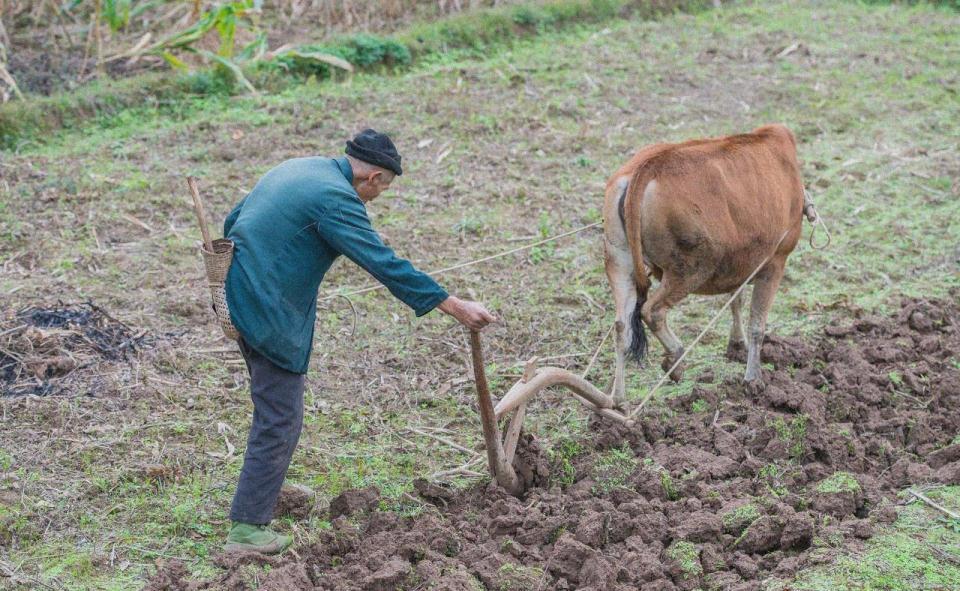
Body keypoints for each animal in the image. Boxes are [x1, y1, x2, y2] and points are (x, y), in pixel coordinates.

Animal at [604, 123, 808, 402]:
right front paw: (753, 379)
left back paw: (618, 400)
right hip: (689, 270)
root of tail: (648, 167)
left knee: (622, 326)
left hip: (619, 262)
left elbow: (736, 300)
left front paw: (736, 346)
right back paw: (676, 360)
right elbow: (757, 324)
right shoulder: (775, 262)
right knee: (652, 311)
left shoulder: (742, 260)